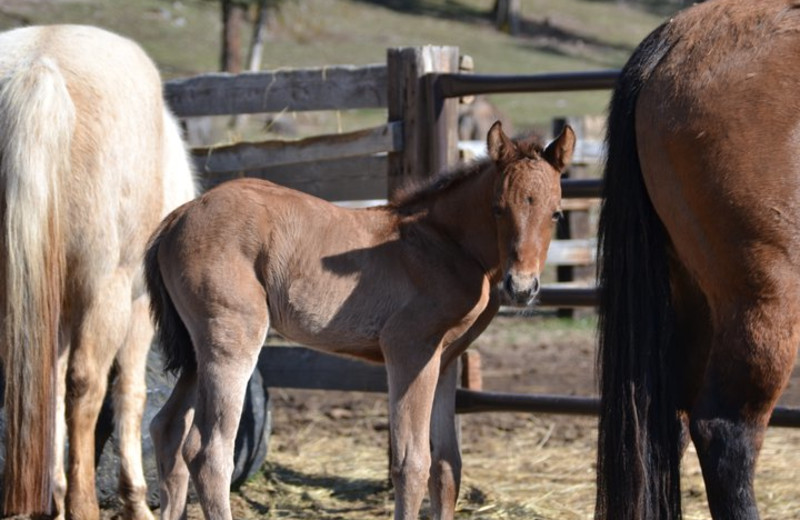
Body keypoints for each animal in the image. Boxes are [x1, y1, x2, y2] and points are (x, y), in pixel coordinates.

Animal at [0, 25, 197, 520]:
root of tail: (39, 64)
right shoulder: (139, 308)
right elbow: (129, 393)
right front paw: (135, 501)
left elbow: (47, 389)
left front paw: (52, 494)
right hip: (108, 291)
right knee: (86, 384)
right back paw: (84, 504)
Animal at [145, 122, 576, 520]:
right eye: (498, 208)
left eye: (555, 213)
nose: (521, 287)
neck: (444, 244)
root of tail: (177, 215)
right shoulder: (409, 349)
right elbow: (412, 463)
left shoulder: (446, 359)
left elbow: (446, 466)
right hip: (232, 339)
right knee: (208, 451)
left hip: (199, 350)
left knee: (167, 429)